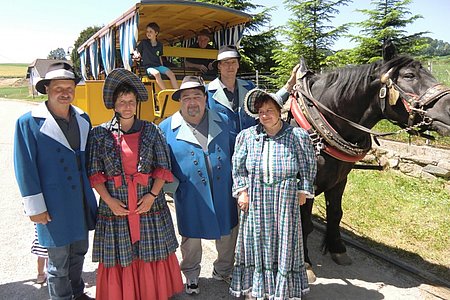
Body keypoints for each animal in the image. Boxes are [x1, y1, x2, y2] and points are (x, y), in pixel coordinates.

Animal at [290, 45, 450, 268]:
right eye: (409, 75)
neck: (318, 126)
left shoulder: (339, 179)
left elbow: (336, 213)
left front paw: (337, 248)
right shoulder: (305, 184)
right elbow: (304, 222)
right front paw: (304, 261)